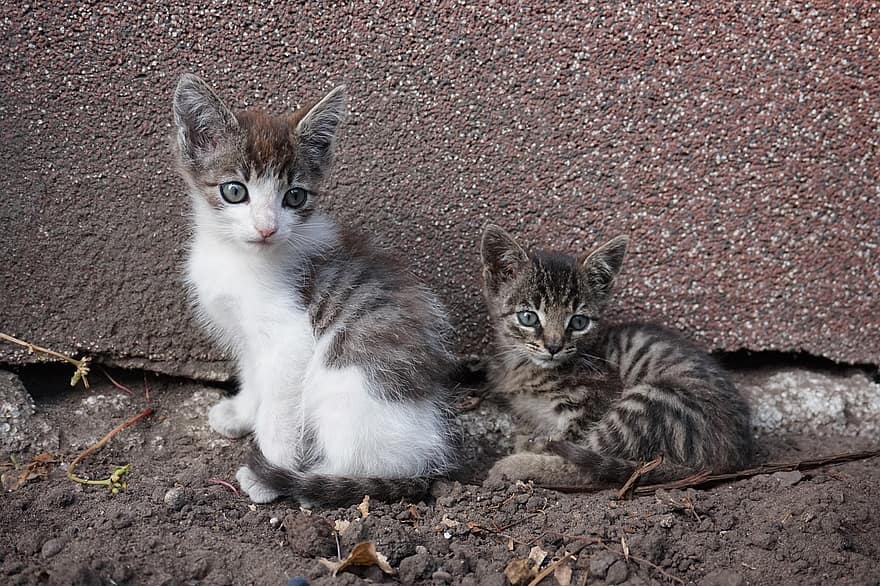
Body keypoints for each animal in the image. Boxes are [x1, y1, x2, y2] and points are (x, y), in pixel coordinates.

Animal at [174, 72, 460, 502]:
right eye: (234, 190)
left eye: (295, 196)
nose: (267, 228)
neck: (237, 256)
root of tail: (425, 459)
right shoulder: (246, 335)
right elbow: (253, 375)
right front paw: (241, 413)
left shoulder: (290, 339)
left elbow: (279, 408)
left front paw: (265, 472)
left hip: (345, 384)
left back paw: (310, 479)